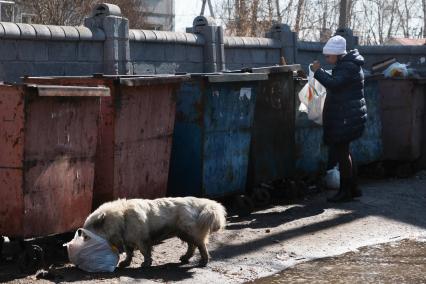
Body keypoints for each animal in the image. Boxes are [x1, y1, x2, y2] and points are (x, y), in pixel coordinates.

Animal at [83, 196, 226, 268]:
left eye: (86, 235)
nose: (80, 235)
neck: (122, 216)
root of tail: (203, 203)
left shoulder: (142, 241)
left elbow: (145, 252)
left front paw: (146, 263)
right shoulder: (128, 241)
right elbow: (129, 253)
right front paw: (126, 263)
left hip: (191, 233)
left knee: (201, 246)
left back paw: (204, 261)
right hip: (184, 233)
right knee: (192, 246)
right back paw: (185, 258)